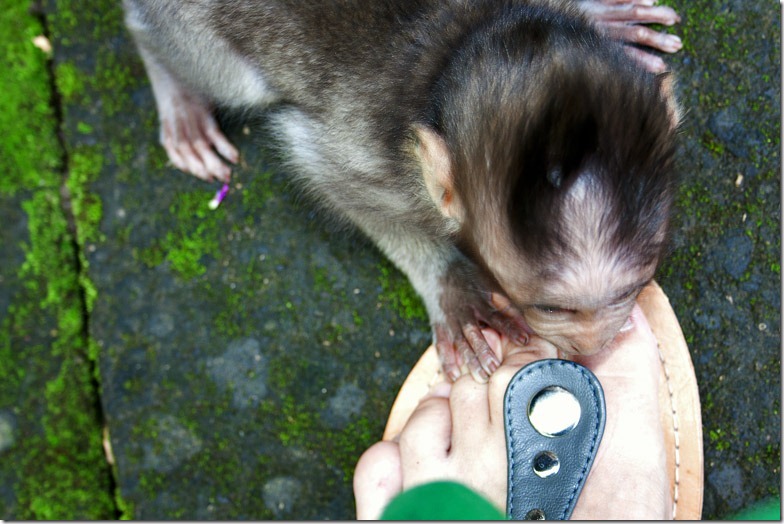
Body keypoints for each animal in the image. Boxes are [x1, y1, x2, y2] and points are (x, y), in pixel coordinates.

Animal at [122, 1, 680, 384]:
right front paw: (450, 283)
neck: (460, 41)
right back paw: (168, 79)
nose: (594, 349)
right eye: (551, 309)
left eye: (630, 291)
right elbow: (324, 172)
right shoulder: (371, 156)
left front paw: (595, 15)